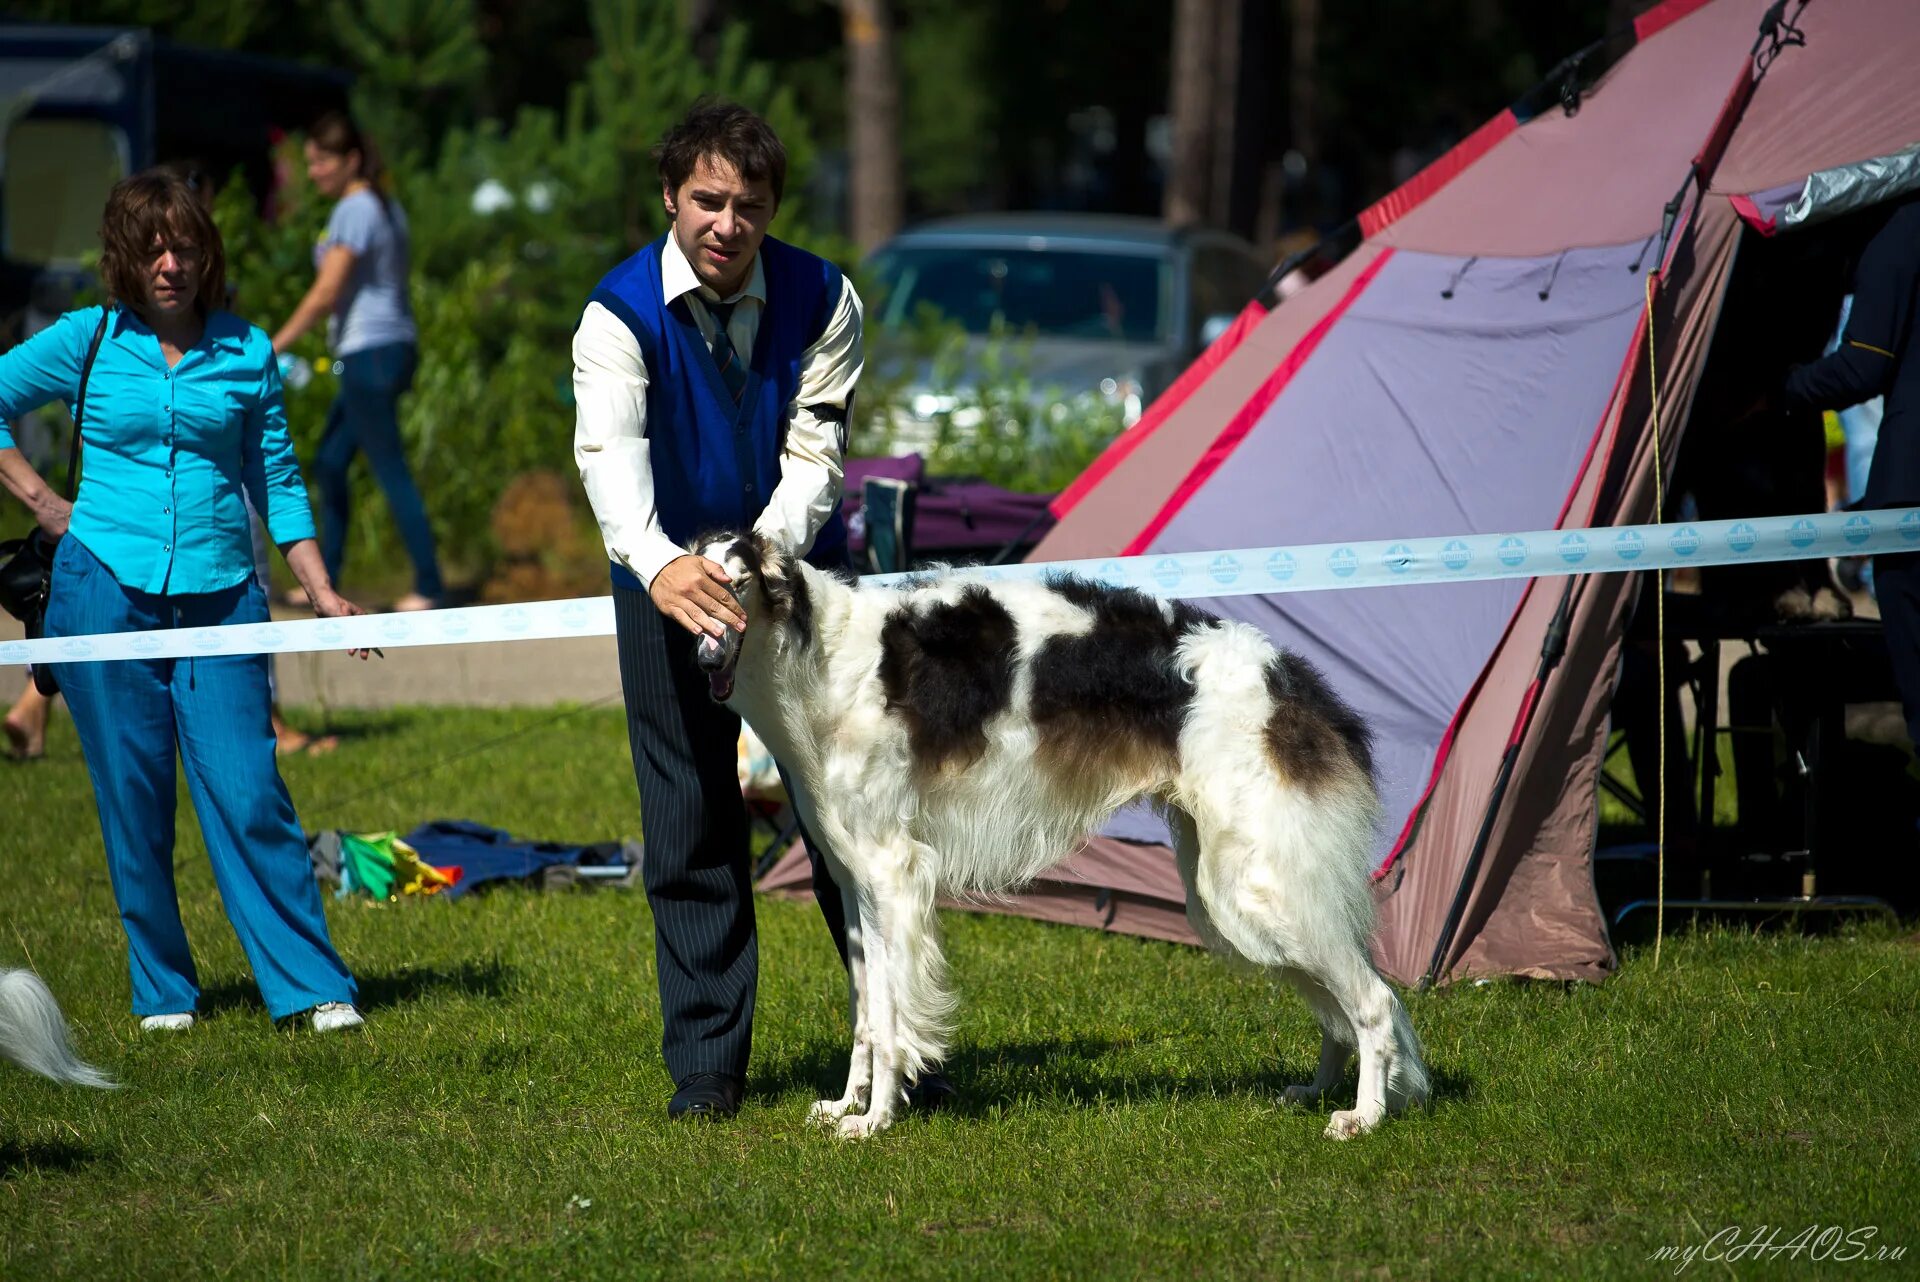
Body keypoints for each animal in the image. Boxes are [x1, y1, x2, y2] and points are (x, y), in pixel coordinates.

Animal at [691, 529, 1428, 1143]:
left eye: (736, 584)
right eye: (701, 592)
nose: (705, 657)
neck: (825, 658)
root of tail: (1292, 679)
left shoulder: (892, 873)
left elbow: (894, 1019)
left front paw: (874, 1122)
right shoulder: (854, 883)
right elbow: (869, 1014)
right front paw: (846, 1105)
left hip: (1254, 882)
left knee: (1373, 1000)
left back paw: (1363, 1117)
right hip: (1233, 891)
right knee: (1338, 1007)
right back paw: (1320, 1090)